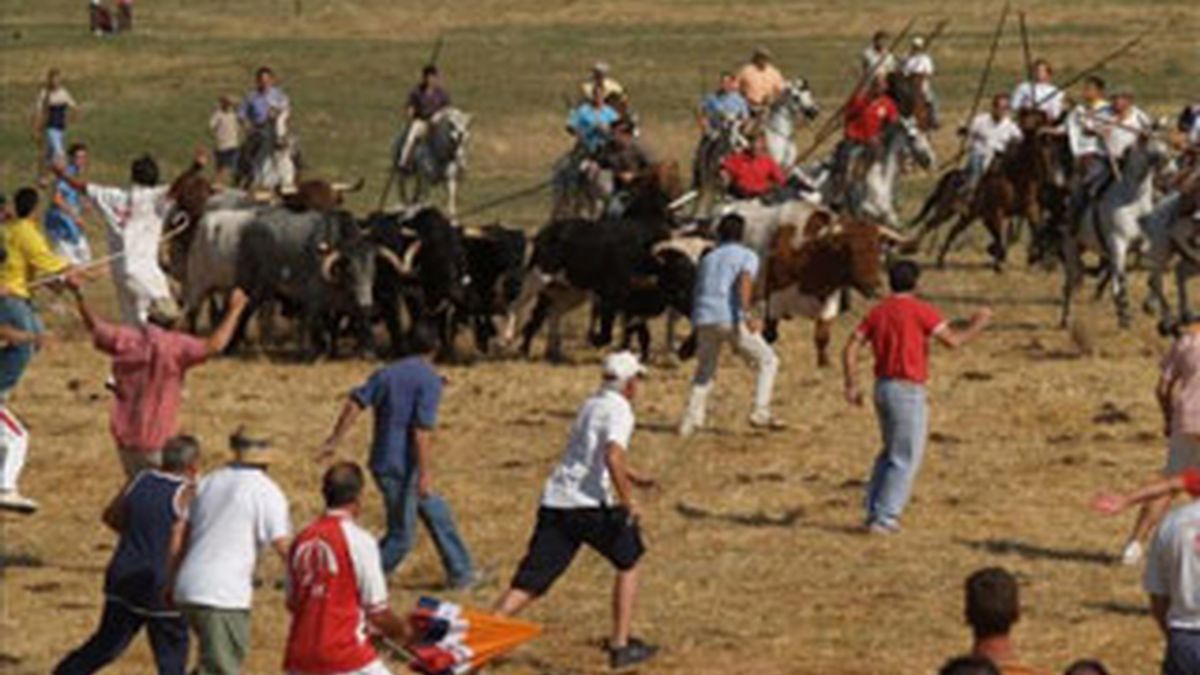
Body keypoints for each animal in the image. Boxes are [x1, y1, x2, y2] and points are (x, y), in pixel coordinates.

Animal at [1060, 133, 1171, 326]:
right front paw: (1126, 315)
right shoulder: (1118, 244)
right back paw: (1066, 318)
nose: (1167, 161)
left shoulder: (1144, 245)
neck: (1132, 201)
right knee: (1070, 281)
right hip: (1072, 246)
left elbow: (1154, 271)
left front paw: (1150, 304)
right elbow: (1122, 280)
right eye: (1146, 140)